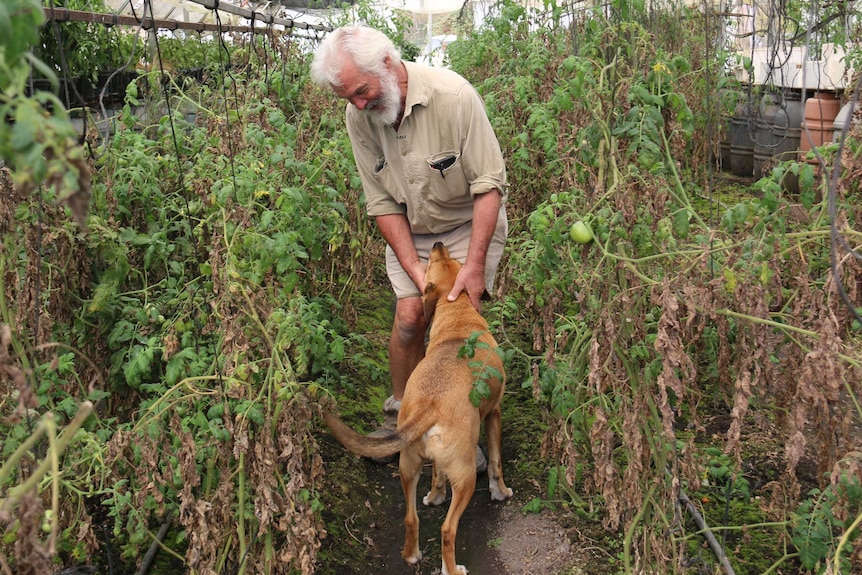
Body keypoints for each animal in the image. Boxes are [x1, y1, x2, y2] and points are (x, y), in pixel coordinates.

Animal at [324, 242, 512, 575]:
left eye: (449, 260)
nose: (438, 244)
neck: (458, 317)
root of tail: (429, 406)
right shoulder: (494, 414)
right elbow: (496, 463)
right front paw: (500, 492)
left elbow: (436, 475)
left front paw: (435, 496)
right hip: (464, 478)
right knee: (447, 530)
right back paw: (452, 568)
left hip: (408, 466)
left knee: (410, 518)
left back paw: (411, 554)